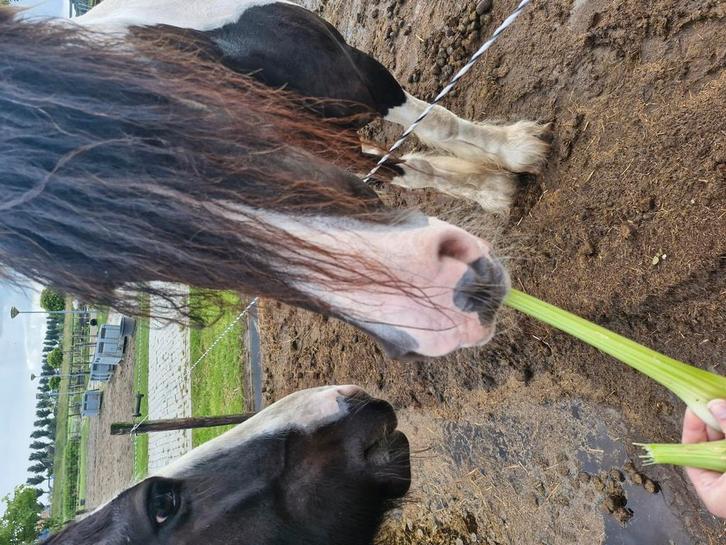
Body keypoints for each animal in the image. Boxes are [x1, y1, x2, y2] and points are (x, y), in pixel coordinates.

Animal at [0, 1, 548, 358]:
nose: (441, 314)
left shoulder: (360, 77)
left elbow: (433, 124)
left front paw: (511, 155)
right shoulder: (331, 146)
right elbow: (405, 168)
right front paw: (490, 186)